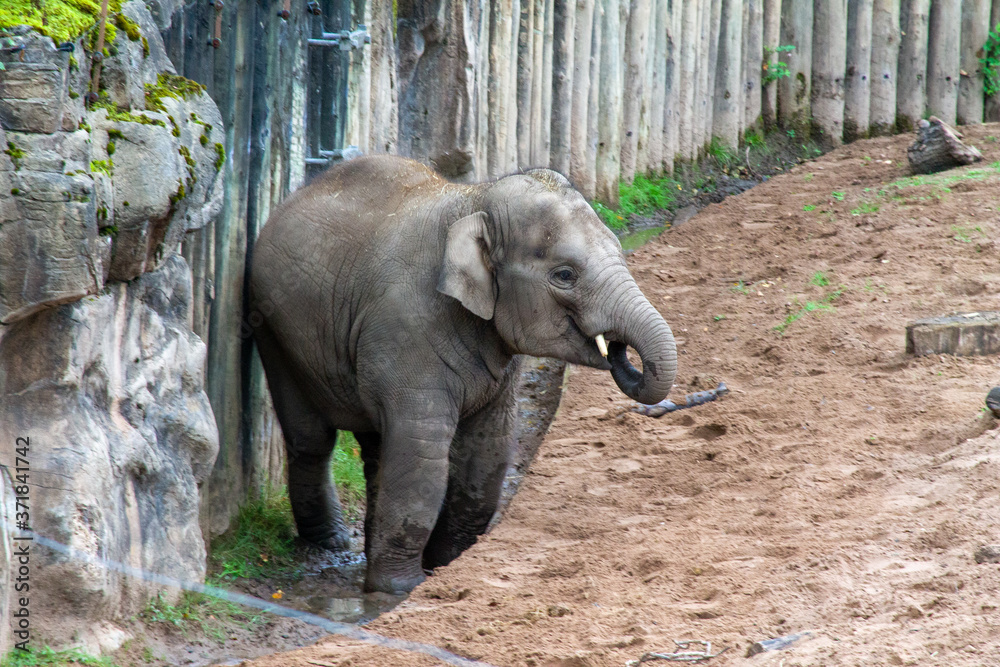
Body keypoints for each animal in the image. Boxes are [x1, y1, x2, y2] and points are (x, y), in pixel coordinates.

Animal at [249, 155, 677, 594]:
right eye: (564, 275)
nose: (618, 350)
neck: (474, 199)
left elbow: (488, 447)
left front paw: (445, 566)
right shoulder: (405, 328)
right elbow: (420, 453)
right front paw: (398, 590)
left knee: (374, 447)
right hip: (272, 328)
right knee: (312, 440)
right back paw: (329, 543)